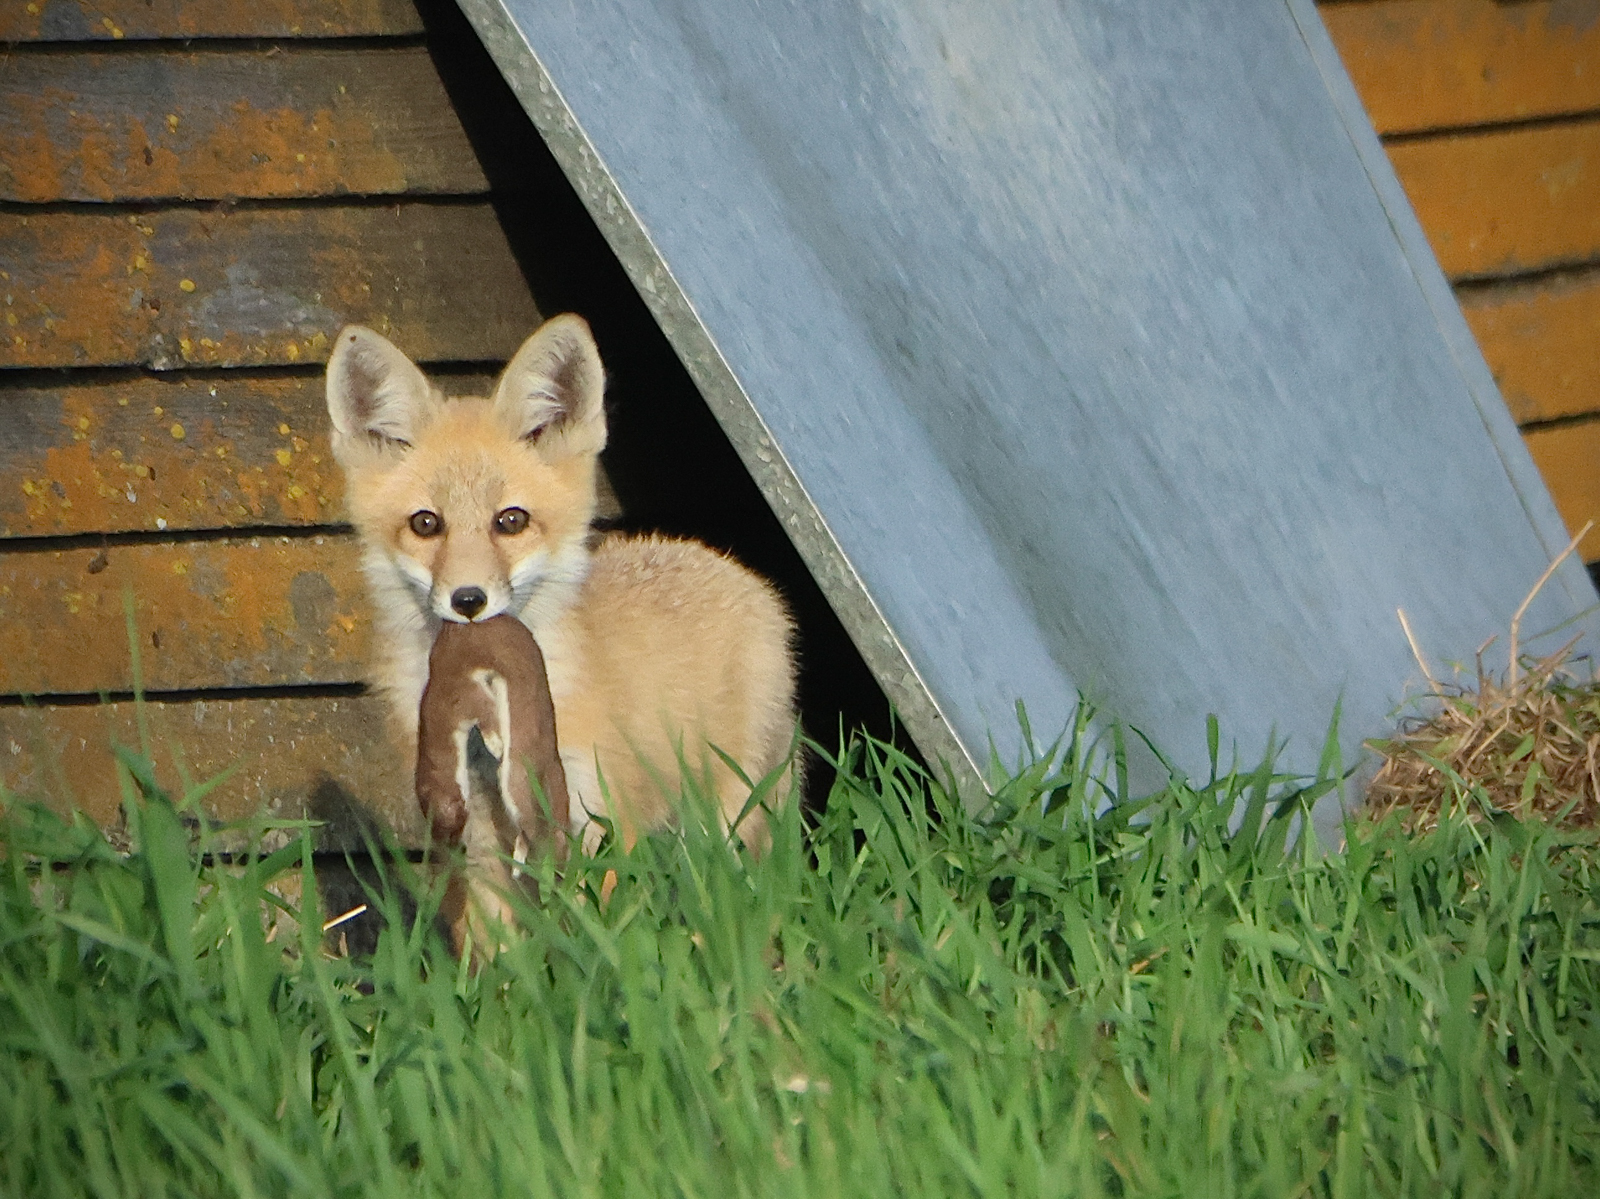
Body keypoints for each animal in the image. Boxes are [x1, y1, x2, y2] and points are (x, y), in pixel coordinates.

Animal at [325, 314, 798, 876]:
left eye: (511, 521)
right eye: (425, 524)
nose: (468, 600)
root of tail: (733, 568)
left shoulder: (604, 816)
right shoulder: (479, 834)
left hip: (727, 817)